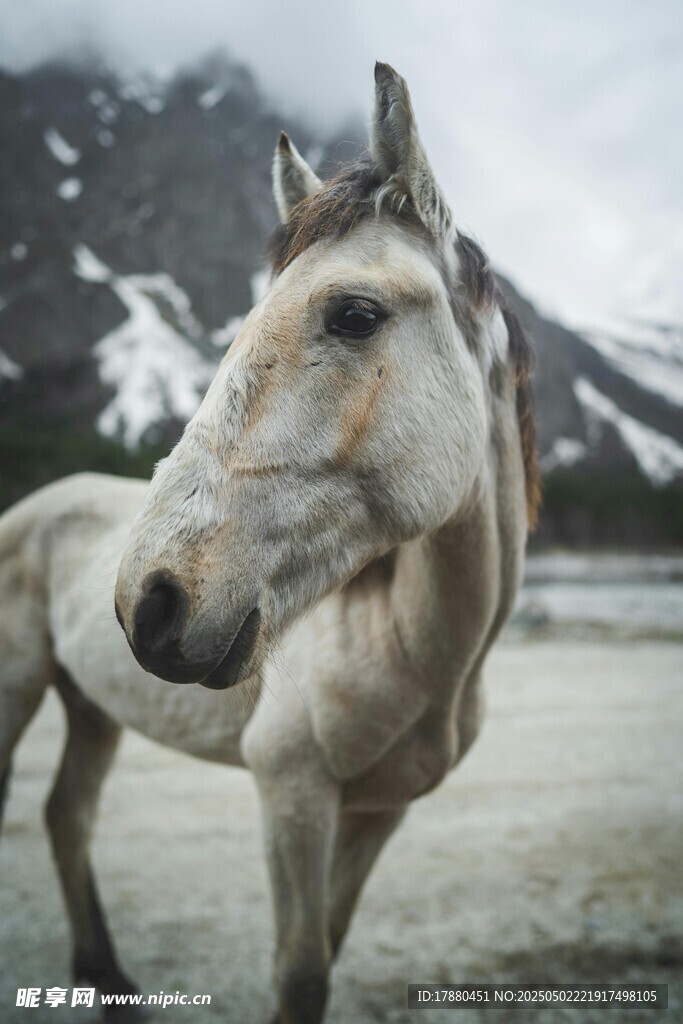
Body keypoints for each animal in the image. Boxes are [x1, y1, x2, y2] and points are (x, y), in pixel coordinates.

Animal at [0, 63, 539, 1024]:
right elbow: (299, 970)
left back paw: (107, 979)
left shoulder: (376, 814)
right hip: (17, 684)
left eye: (355, 314)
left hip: (91, 708)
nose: (150, 600)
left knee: (67, 815)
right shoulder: (292, 795)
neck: (415, 651)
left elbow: (327, 950)